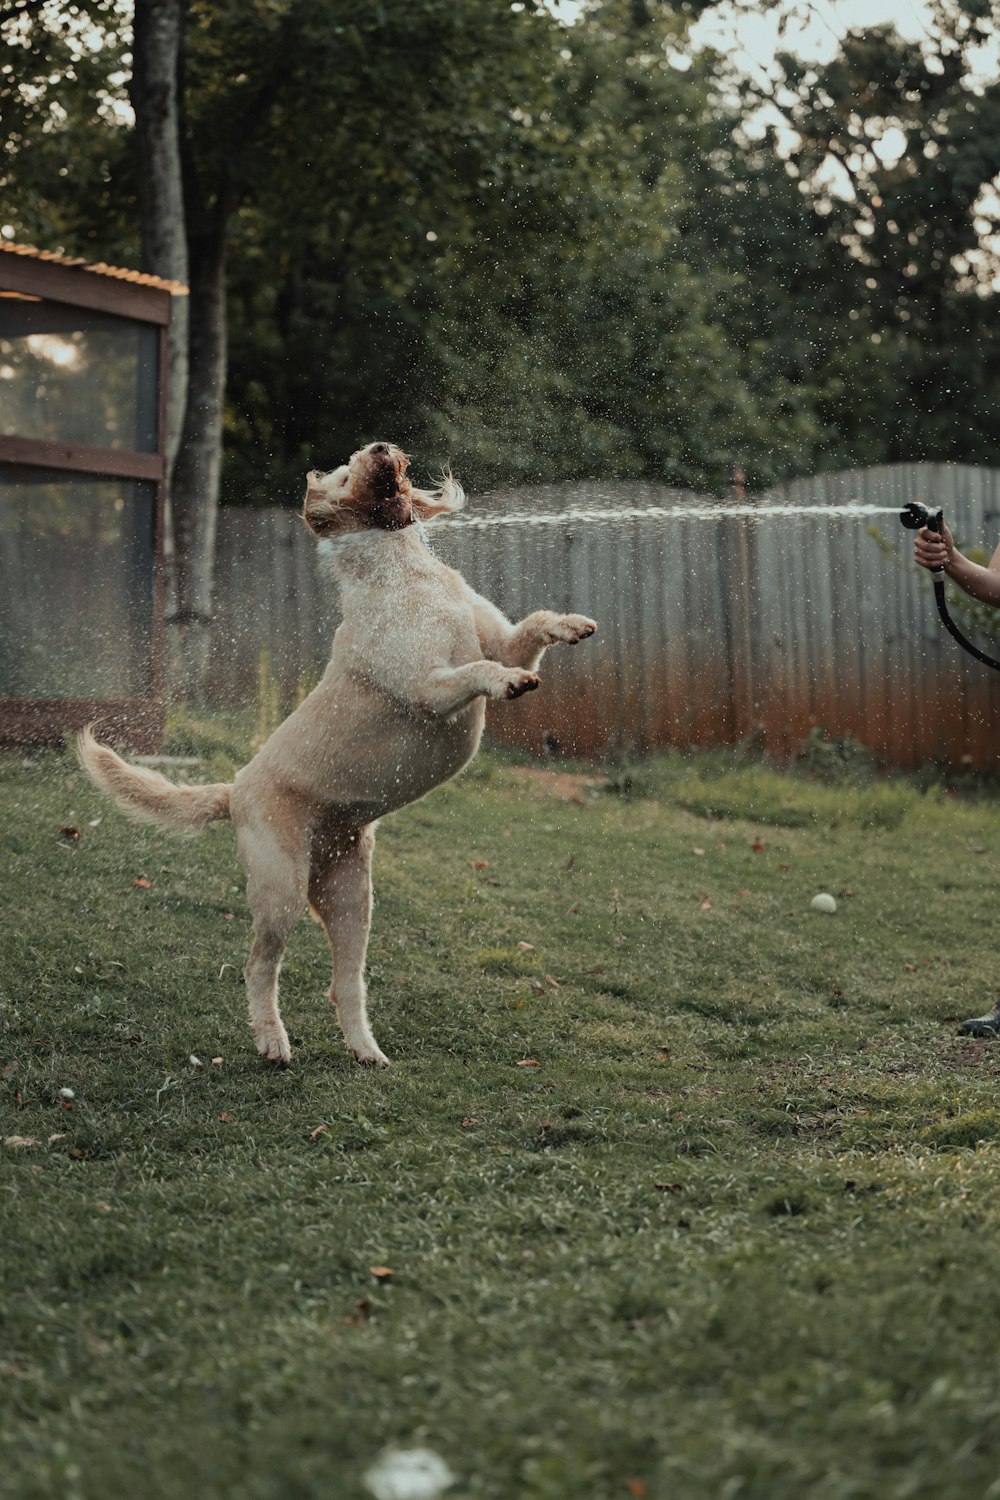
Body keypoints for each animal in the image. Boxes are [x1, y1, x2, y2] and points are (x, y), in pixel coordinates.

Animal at [78, 441, 599, 1068]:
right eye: (346, 474)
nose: (381, 447)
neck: (403, 574)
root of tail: (235, 789)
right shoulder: (427, 688)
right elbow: (478, 669)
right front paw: (505, 683)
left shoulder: (502, 639)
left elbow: (530, 629)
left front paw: (570, 624)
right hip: (281, 891)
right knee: (258, 967)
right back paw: (272, 1040)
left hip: (352, 900)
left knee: (344, 982)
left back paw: (365, 1050)